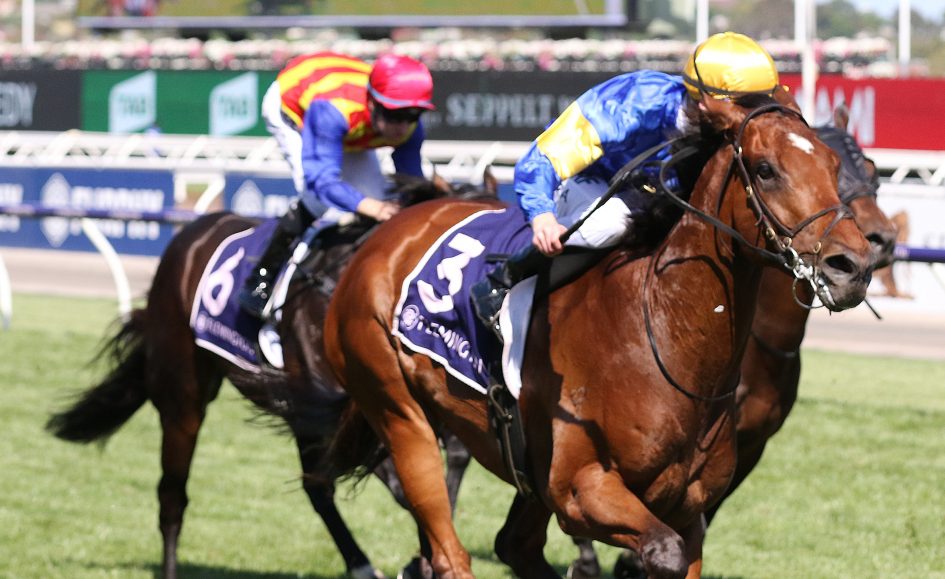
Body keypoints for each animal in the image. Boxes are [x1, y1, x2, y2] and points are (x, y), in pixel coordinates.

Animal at [44, 171, 495, 579]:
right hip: (184, 397)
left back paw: (362, 564)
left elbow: (450, 465)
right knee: (174, 496)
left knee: (315, 487)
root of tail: (191, 234)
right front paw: (421, 560)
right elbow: (406, 487)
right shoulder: (341, 412)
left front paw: (426, 555)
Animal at [321, 93, 874, 579]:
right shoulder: (580, 487)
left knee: (514, 545)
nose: (853, 265)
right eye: (765, 169)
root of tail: (384, 235)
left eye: (837, 168)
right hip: (399, 411)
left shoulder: (688, 509)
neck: (665, 338)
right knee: (449, 549)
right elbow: (661, 552)